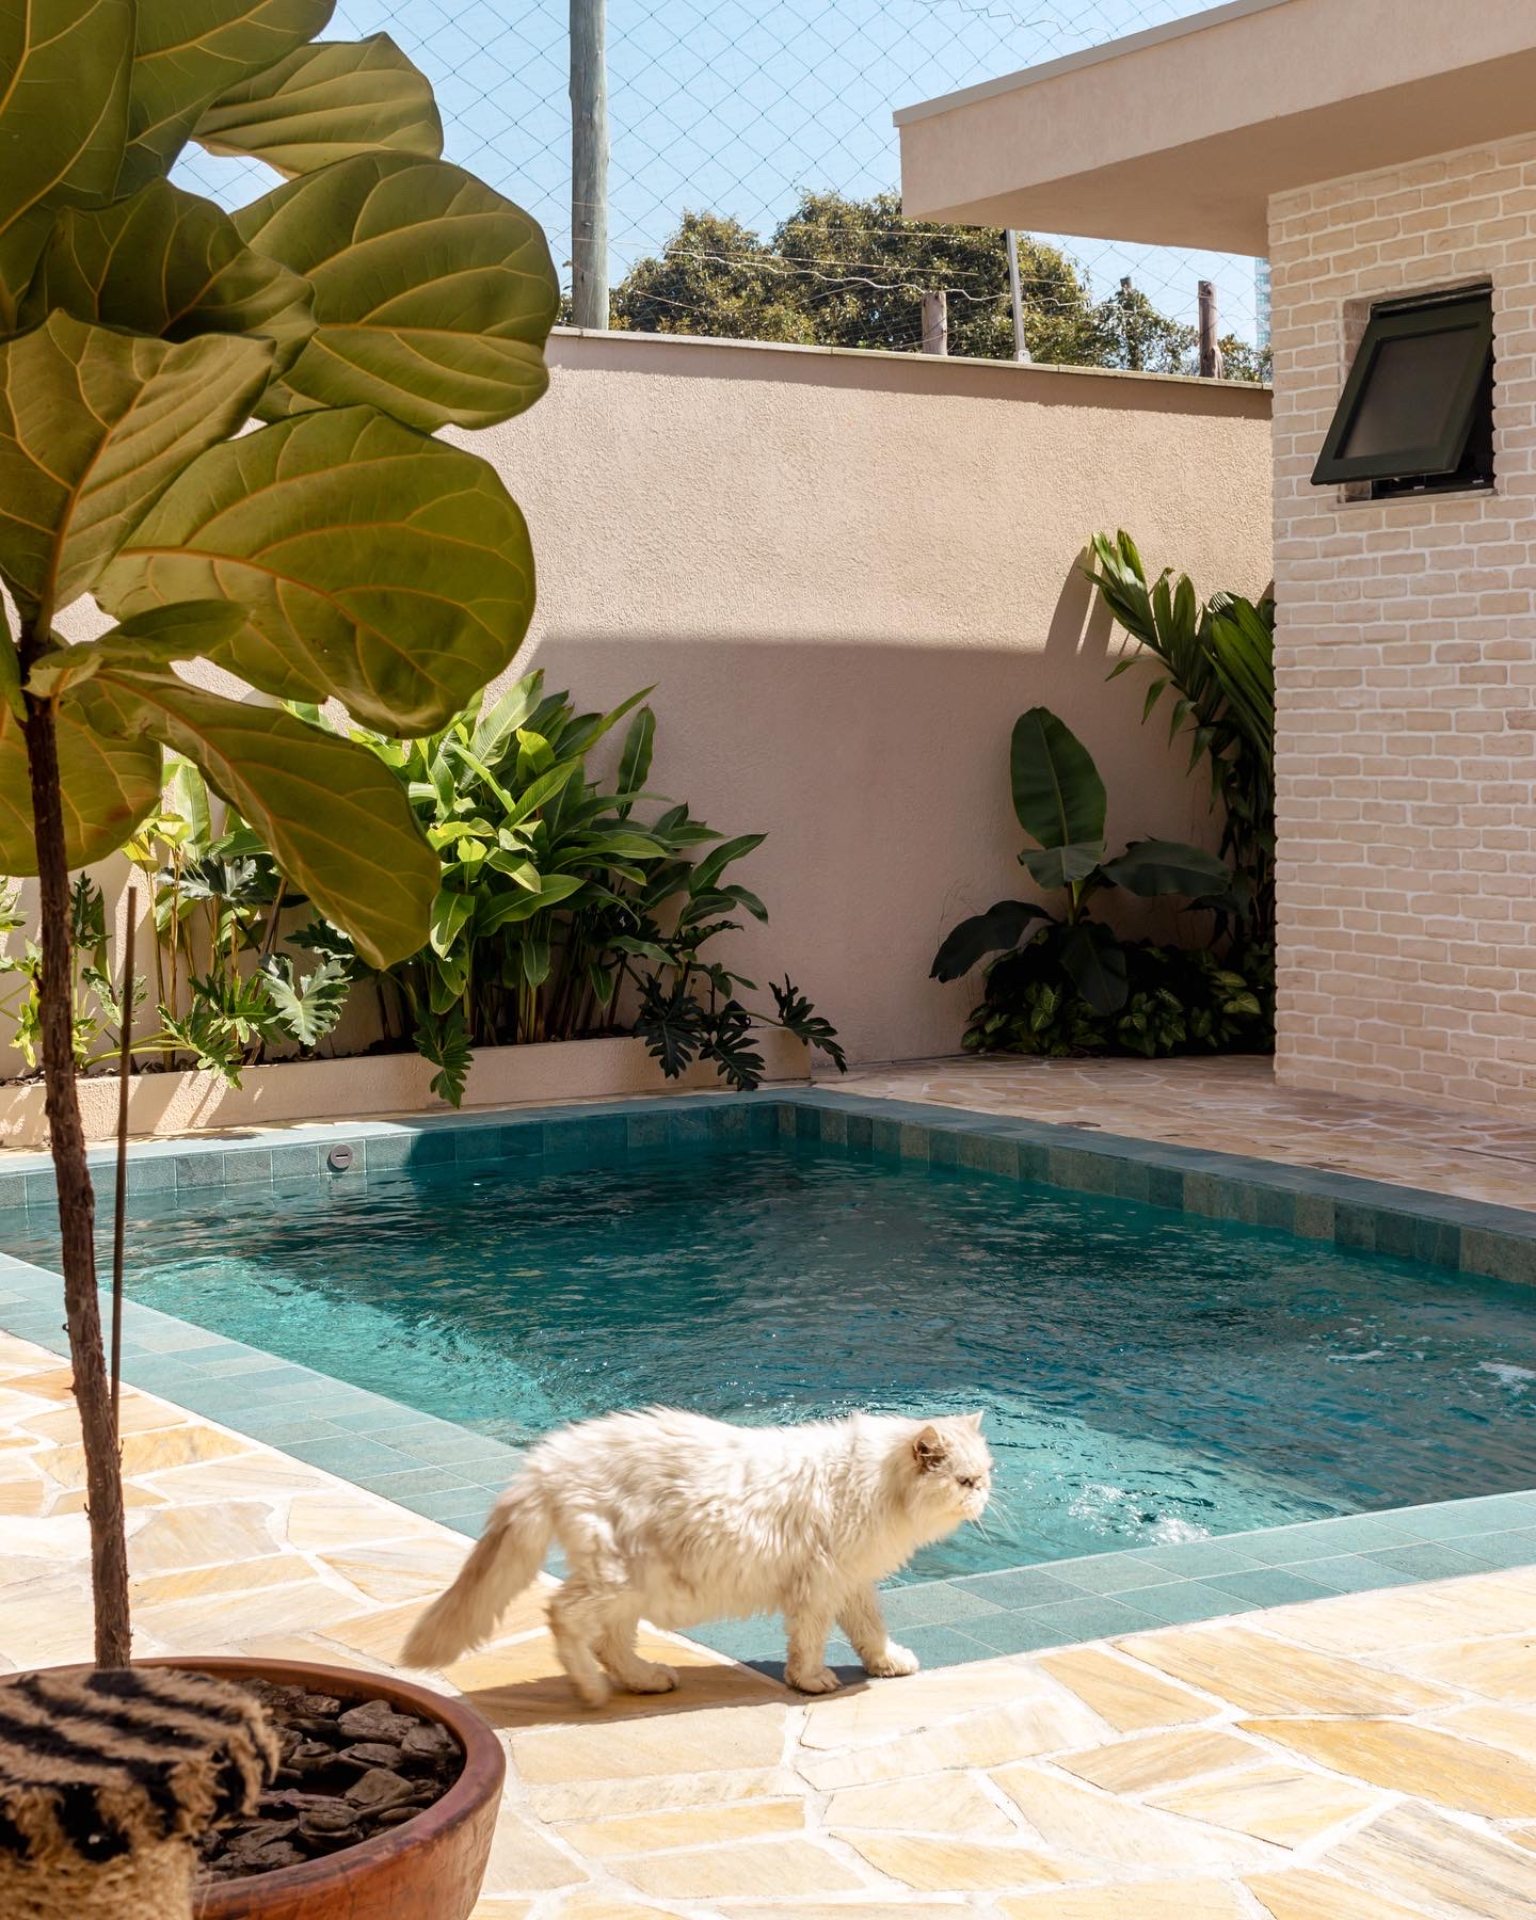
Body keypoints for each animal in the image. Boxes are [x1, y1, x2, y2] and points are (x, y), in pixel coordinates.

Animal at [401, 1405, 990, 1704]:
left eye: (984, 1476)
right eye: (965, 1481)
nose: (984, 1495)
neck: (875, 1482)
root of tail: (549, 1458)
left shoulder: (851, 1580)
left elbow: (871, 1630)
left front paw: (887, 1663)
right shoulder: (821, 1582)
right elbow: (809, 1643)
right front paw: (811, 1681)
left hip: (631, 1586)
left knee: (610, 1642)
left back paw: (643, 1679)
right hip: (618, 1576)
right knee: (562, 1617)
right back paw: (592, 1690)